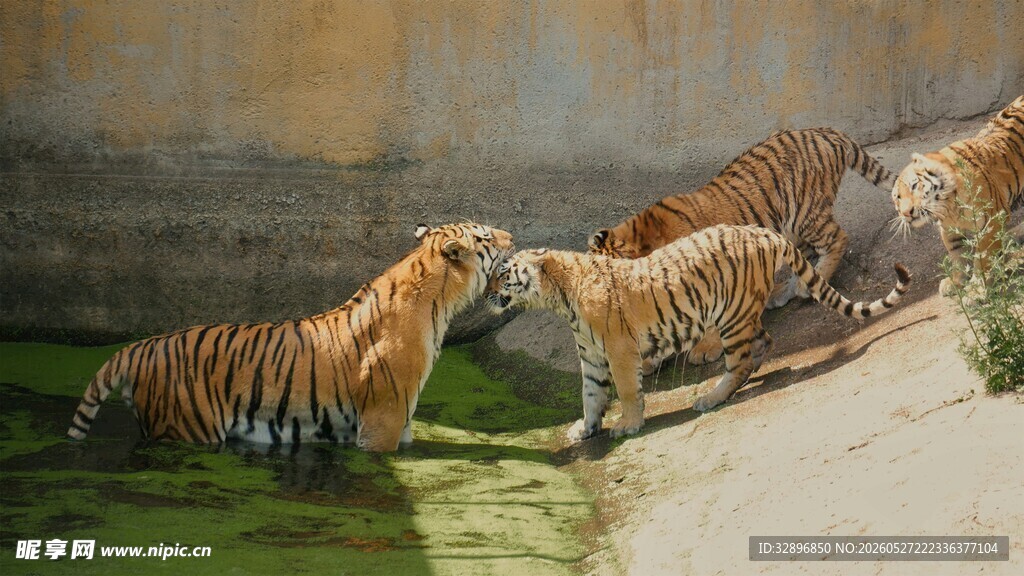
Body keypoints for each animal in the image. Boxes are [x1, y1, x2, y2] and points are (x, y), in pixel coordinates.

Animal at [66, 223, 515, 452]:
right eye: (486, 236)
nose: (513, 237)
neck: (440, 300)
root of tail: (142, 346)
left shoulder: (401, 420)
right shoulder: (384, 419)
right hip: (187, 427)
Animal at [487, 224, 910, 441]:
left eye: (502, 273)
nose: (486, 293)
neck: (559, 299)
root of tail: (764, 233)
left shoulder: (619, 350)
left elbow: (626, 391)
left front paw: (627, 425)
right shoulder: (591, 355)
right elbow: (590, 395)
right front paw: (586, 428)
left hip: (731, 316)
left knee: (739, 361)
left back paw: (711, 397)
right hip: (741, 312)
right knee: (763, 343)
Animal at [588, 127, 896, 369]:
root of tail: (826, 132)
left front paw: (704, 349)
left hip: (805, 214)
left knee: (837, 238)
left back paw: (803, 288)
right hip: (790, 229)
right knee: (805, 258)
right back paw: (784, 291)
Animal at [891, 95, 1023, 296]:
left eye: (914, 186)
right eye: (897, 198)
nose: (906, 213)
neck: (948, 207)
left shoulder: (992, 220)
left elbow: (982, 258)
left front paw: (977, 290)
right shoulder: (949, 228)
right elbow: (957, 254)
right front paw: (956, 282)